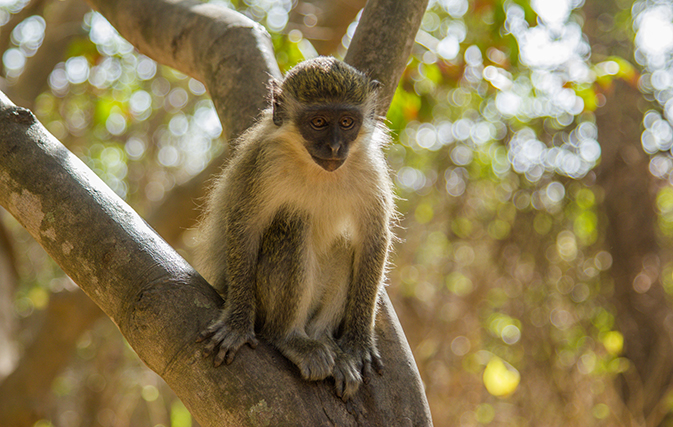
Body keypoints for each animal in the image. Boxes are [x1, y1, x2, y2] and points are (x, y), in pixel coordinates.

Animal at [194, 56, 394, 402]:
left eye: (346, 122)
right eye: (318, 122)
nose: (334, 147)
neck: (316, 169)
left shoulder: (369, 169)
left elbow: (373, 240)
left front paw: (357, 345)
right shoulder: (264, 164)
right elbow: (245, 227)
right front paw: (237, 324)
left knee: (345, 245)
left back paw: (328, 345)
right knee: (293, 221)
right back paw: (288, 338)